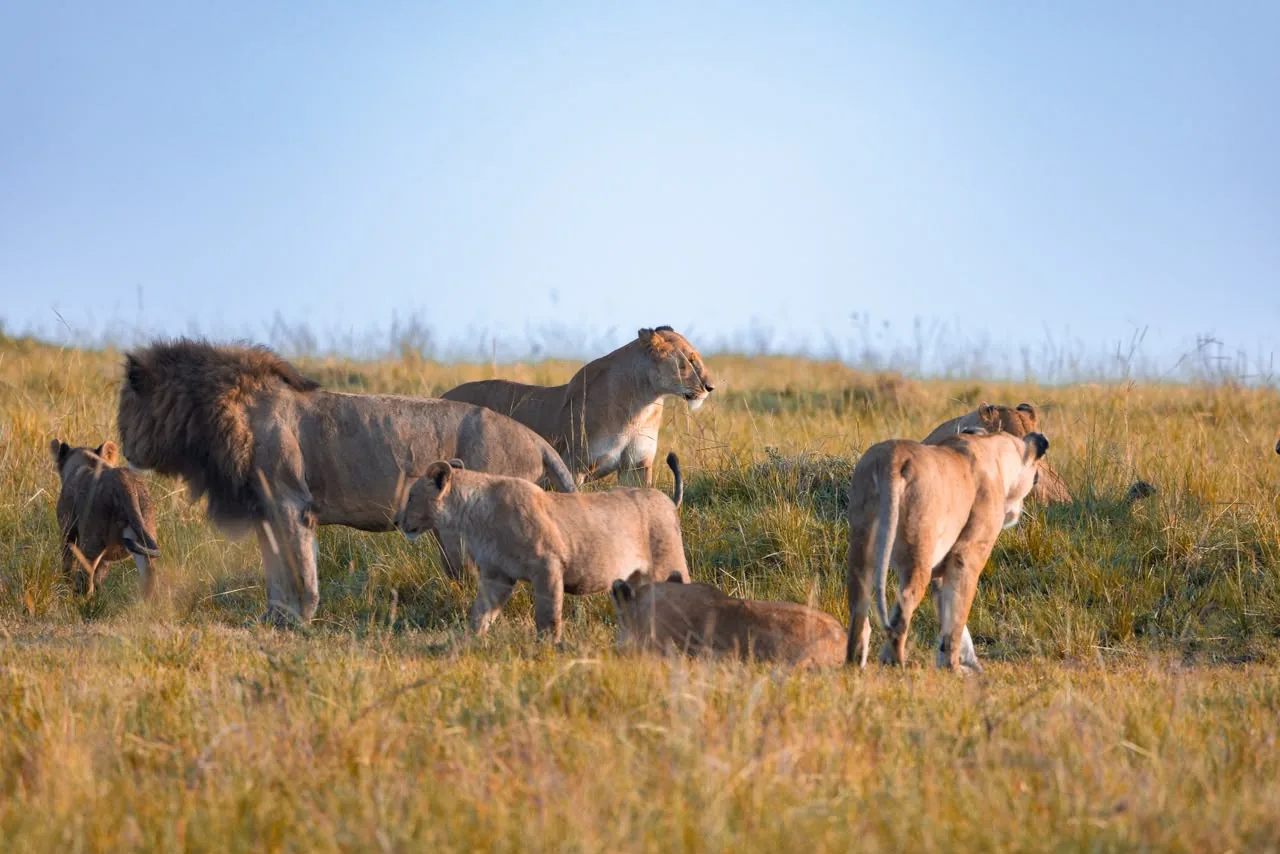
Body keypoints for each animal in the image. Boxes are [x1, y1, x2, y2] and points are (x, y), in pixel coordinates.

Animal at [50, 439, 160, 598]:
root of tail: (125, 482)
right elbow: (100, 575)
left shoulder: (67, 529)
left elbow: (67, 562)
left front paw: (65, 585)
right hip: (145, 532)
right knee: (149, 577)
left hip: (92, 538)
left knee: (85, 579)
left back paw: (78, 600)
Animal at [116, 339, 577, 624]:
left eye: (125, 408)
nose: (122, 444)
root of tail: (537, 440)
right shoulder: (264, 510)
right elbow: (274, 572)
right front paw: (271, 618)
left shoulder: (291, 505)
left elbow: (301, 569)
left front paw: (301, 619)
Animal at [393, 453, 689, 643]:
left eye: (411, 496)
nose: (397, 521)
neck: (470, 516)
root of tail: (667, 500)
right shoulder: (496, 576)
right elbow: (480, 614)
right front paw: (466, 643)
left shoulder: (547, 565)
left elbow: (547, 616)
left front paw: (548, 649)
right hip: (637, 579)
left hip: (668, 566)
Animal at [846, 429, 1048, 672]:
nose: (1039, 436)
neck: (991, 445)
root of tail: (892, 458)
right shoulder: (967, 556)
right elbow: (957, 617)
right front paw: (954, 668)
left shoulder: (941, 570)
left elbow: (948, 614)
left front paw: (957, 663)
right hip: (918, 551)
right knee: (903, 605)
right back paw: (895, 664)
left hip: (861, 547)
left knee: (858, 605)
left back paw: (855, 662)